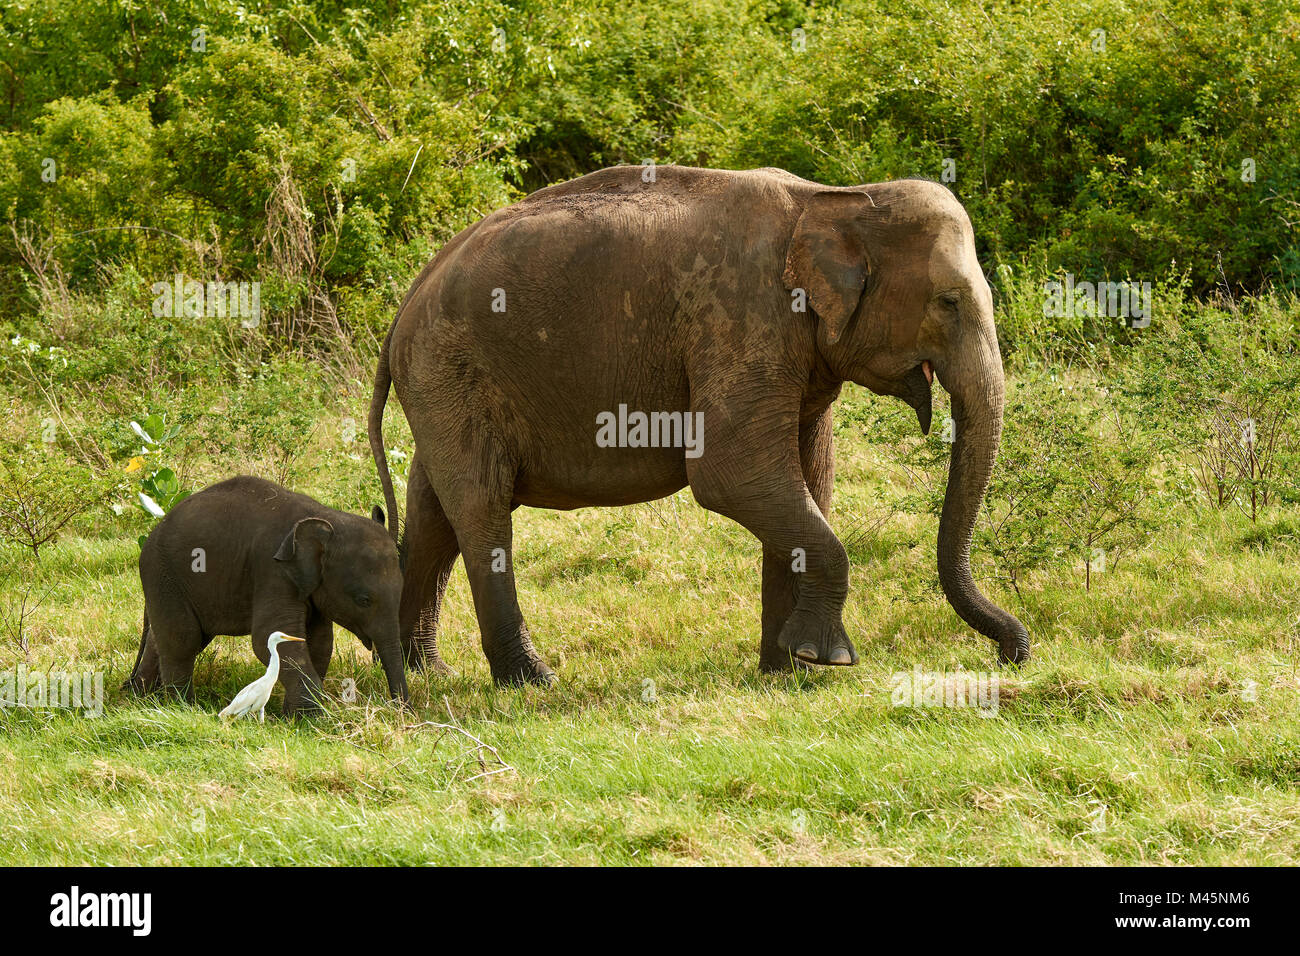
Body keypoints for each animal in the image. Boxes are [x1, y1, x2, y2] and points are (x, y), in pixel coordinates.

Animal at [124, 476, 405, 712]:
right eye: (363, 600)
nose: (402, 712)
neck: (326, 516)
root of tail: (153, 530)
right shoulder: (273, 570)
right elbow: (266, 638)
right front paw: (313, 719)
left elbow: (320, 642)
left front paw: (293, 716)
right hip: (162, 574)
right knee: (183, 639)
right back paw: (181, 708)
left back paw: (141, 699)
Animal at [371, 166, 1029, 686]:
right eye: (949, 302)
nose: (1011, 654)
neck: (834, 198)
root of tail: (404, 305)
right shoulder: (741, 320)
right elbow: (731, 474)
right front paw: (827, 660)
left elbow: (807, 480)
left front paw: (787, 671)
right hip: (449, 372)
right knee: (480, 508)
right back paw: (530, 681)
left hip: (438, 388)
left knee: (434, 513)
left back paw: (420, 671)